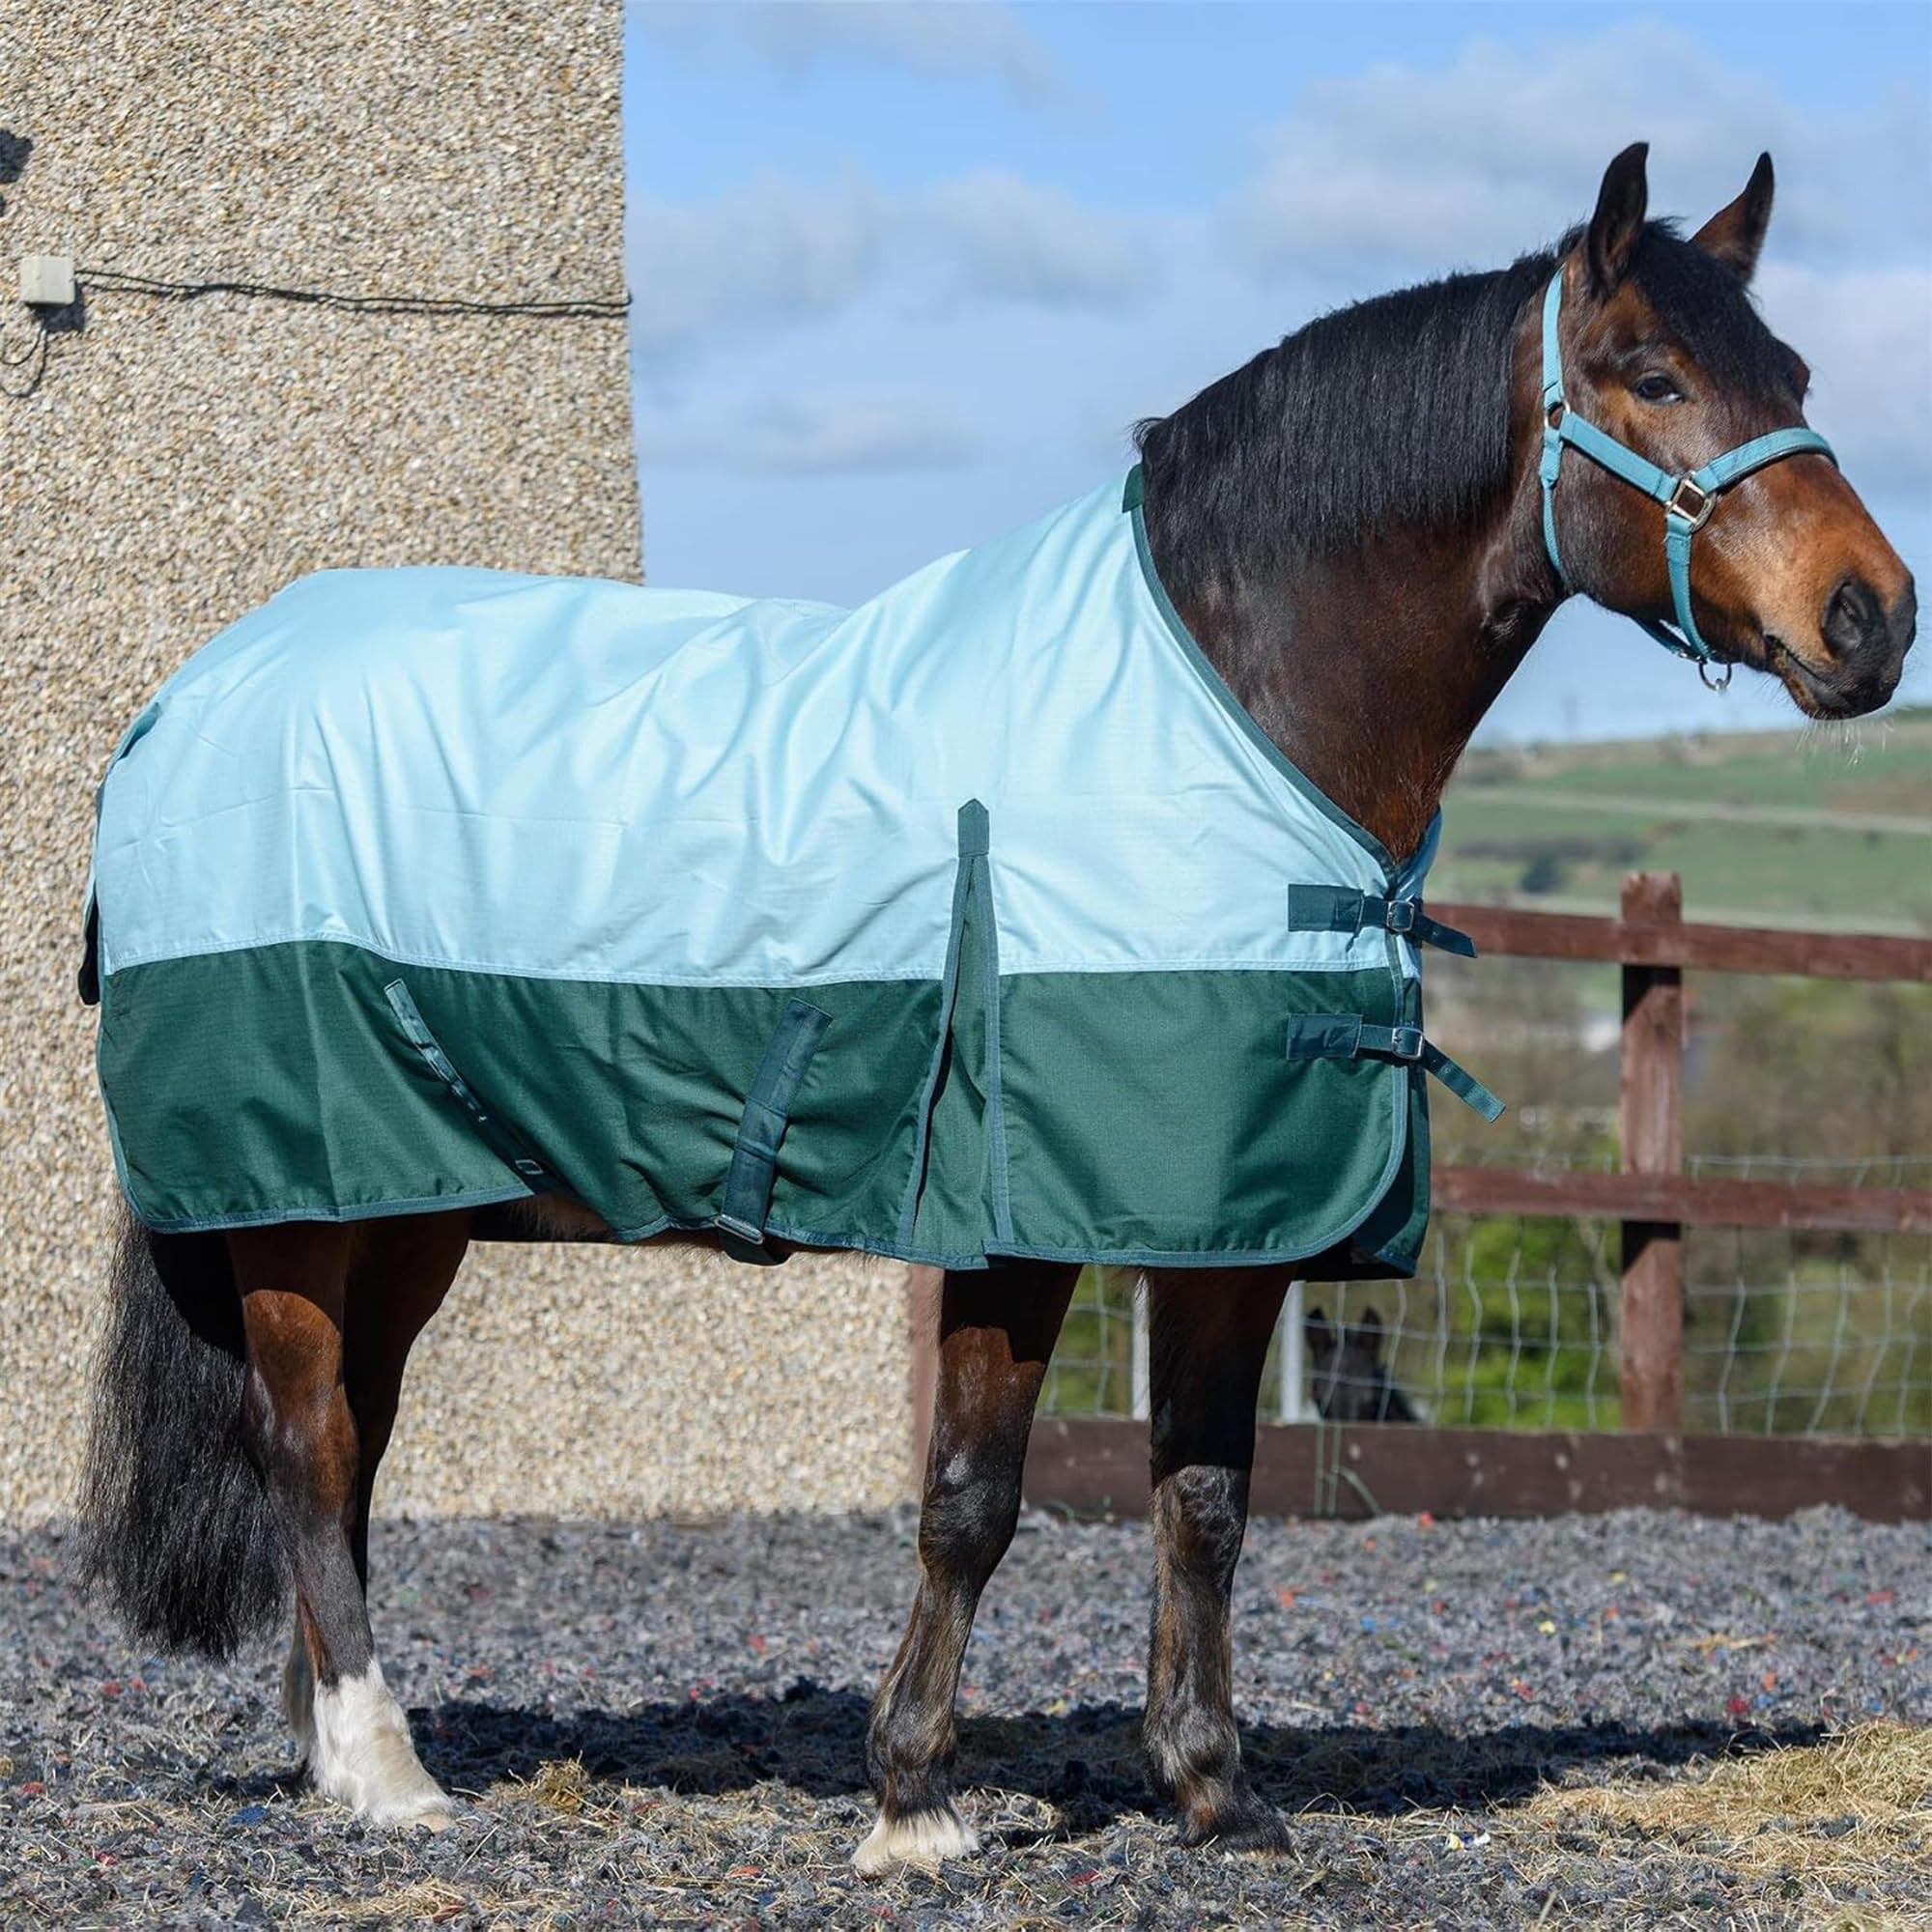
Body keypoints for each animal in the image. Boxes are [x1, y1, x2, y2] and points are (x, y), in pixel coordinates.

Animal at [75, 145, 1914, 1866]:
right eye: (1649, 373)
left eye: (1795, 373)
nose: (1873, 618)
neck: (1228, 705)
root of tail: (196, 694)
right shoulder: (1016, 1213)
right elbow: (971, 1500)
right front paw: (913, 1800)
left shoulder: (1227, 1220)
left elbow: (1203, 1501)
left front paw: (1213, 1791)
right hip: (306, 1201)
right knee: (309, 1445)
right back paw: (388, 1777)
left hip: (407, 1204)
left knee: (356, 1439)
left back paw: (332, 1749)